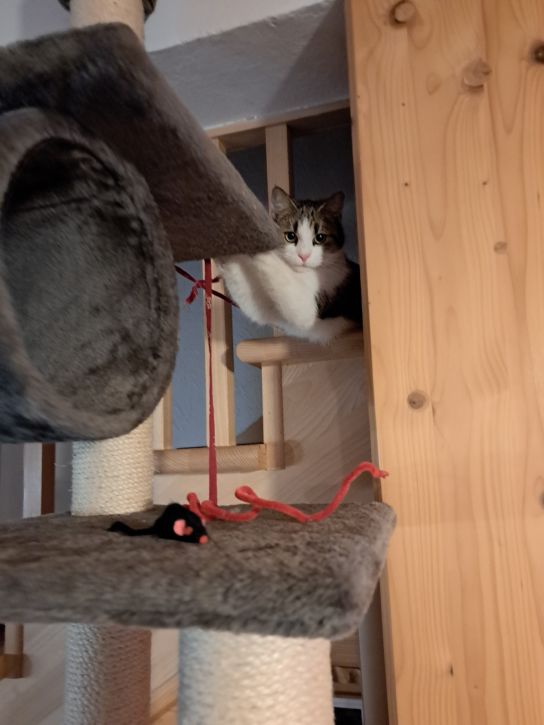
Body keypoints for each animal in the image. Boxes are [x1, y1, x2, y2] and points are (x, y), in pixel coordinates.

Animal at [216, 186, 362, 343]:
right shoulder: (269, 310)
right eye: (290, 236)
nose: (303, 255)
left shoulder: (310, 309)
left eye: (320, 237)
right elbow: (253, 304)